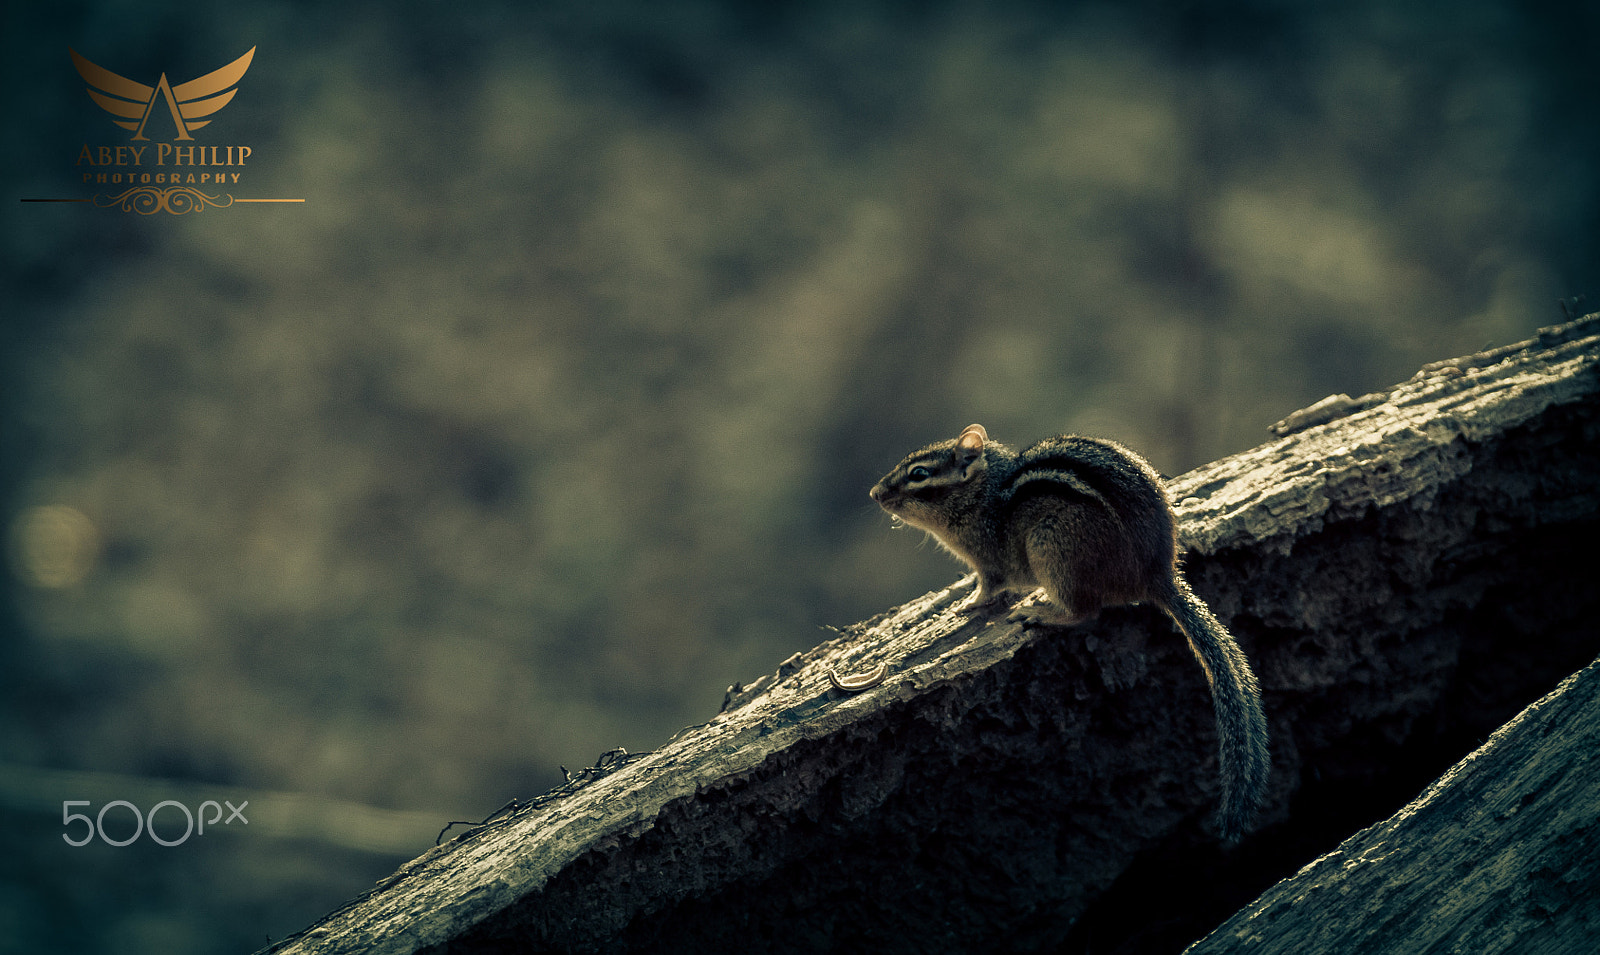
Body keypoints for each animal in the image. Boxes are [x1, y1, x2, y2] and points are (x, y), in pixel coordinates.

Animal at [869, 423, 1269, 841]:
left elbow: (989, 588)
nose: (875, 494)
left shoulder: (991, 563)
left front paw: (967, 603)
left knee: (1084, 612)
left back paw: (1042, 612)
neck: (982, 496)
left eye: (919, 474)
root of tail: (1158, 578)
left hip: (1052, 547)